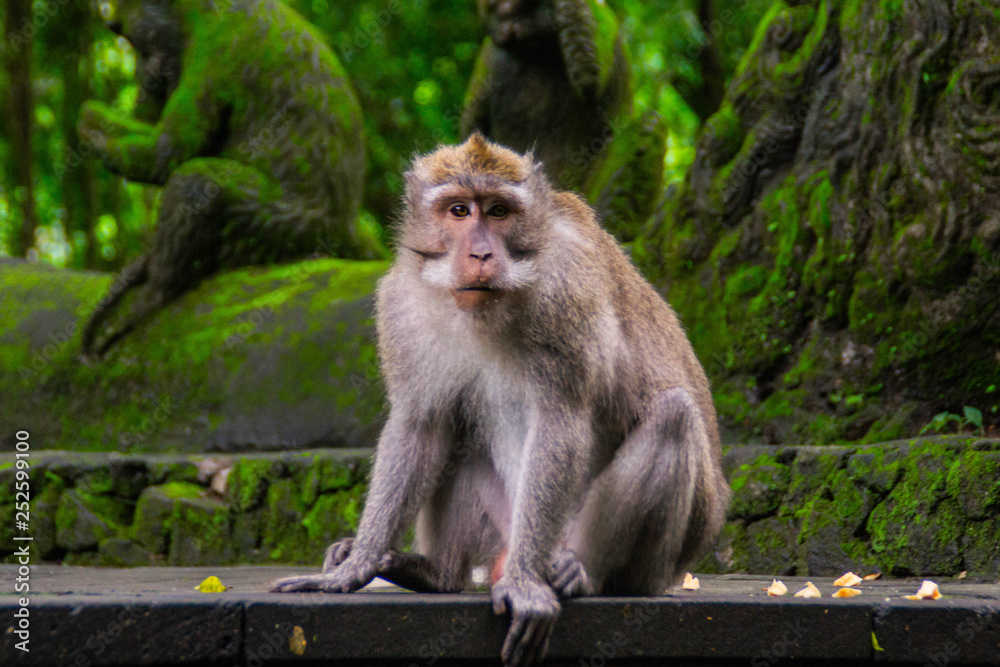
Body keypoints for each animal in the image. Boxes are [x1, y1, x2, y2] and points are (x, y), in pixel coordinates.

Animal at [272, 134, 728, 667]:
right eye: (459, 210)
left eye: (498, 211)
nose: (482, 253)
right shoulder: (401, 303)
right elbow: (421, 426)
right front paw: (356, 565)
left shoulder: (565, 295)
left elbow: (558, 422)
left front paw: (526, 587)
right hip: (502, 528)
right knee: (460, 435)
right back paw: (435, 573)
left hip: (656, 561)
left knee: (673, 417)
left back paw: (580, 572)